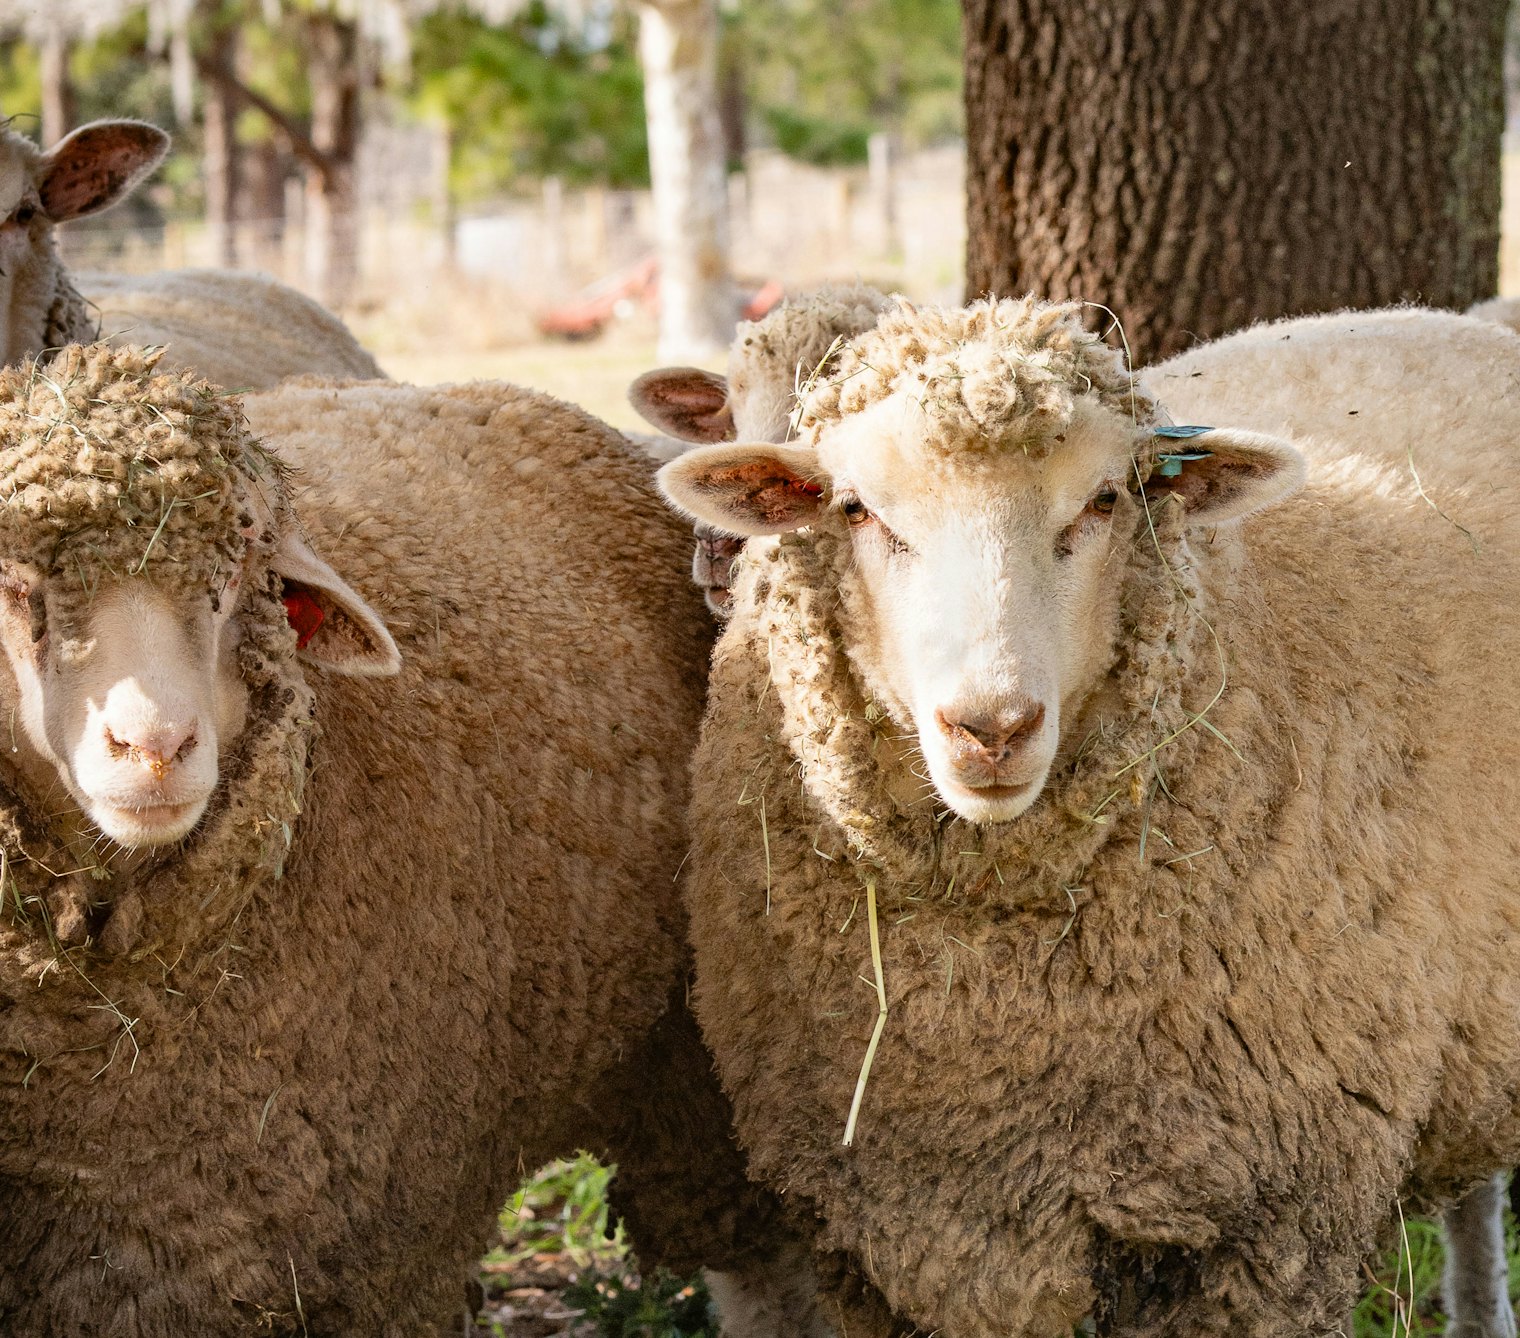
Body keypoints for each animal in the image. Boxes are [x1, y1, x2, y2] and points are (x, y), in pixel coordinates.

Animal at [658, 296, 1520, 1338]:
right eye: (857, 509)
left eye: (1105, 501)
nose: (992, 727)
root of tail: (1441, 318)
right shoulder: (871, 1241)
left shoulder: (1268, 1232)